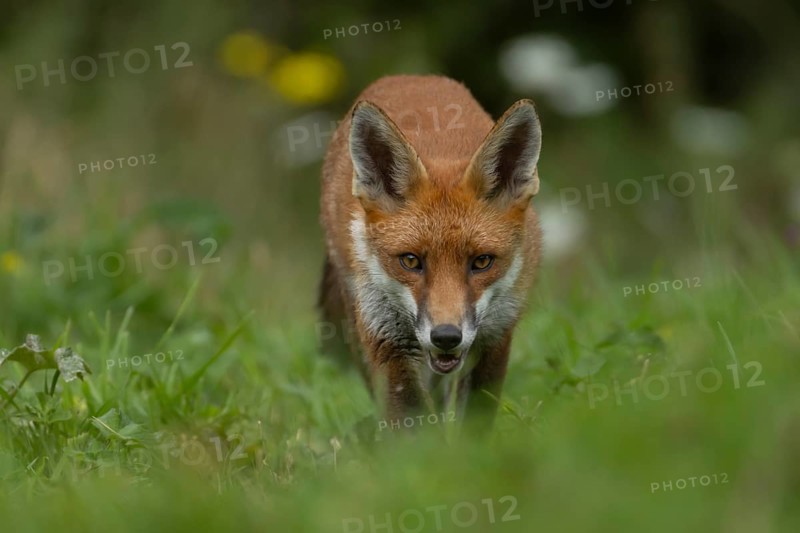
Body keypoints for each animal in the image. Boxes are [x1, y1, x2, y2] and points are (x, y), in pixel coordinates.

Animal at [318, 74, 542, 429]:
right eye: (411, 261)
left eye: (482, 261)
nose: (446, 336)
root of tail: (410, 77)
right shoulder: (386, 338)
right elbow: (411, 421)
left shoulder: (496, 335)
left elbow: (473, 422)